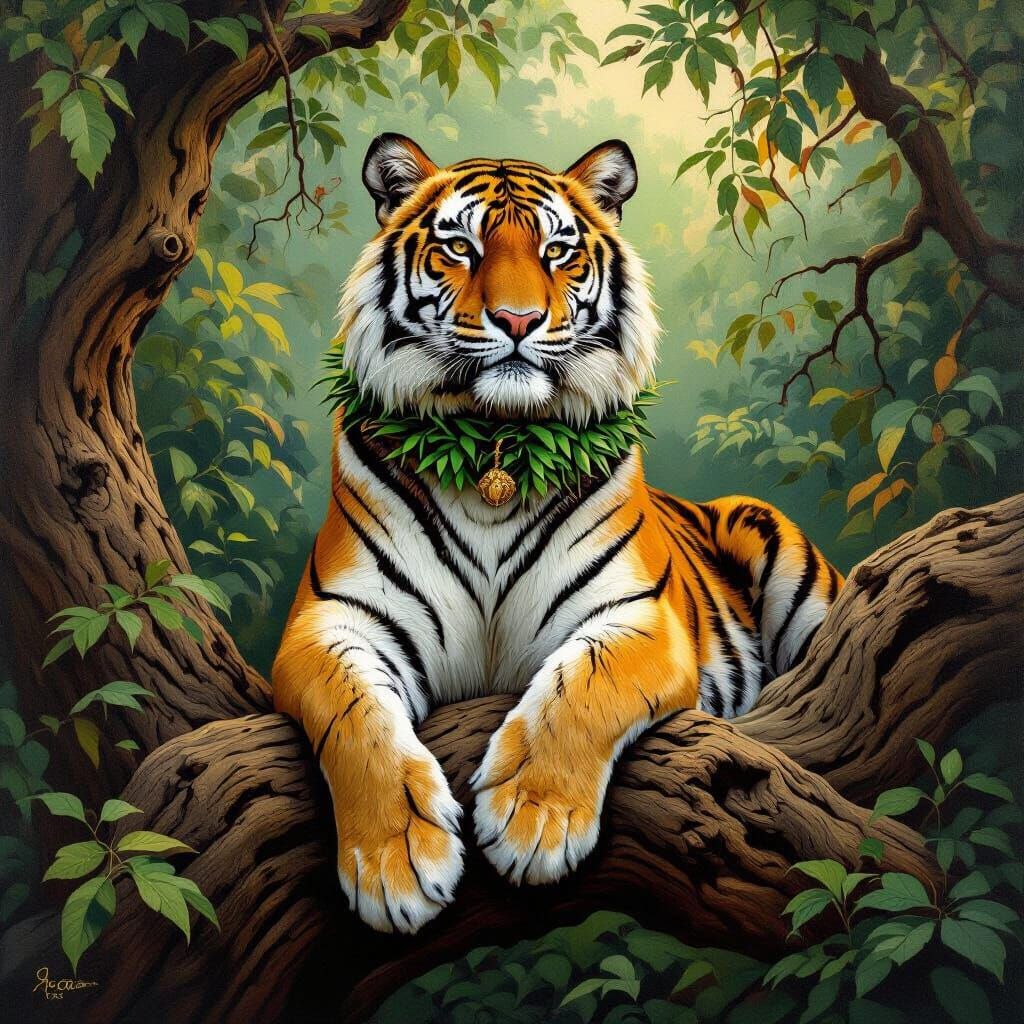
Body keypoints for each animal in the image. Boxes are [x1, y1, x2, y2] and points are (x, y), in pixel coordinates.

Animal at [272, 133, 842, 935]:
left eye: (558, 250)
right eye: (461, 246)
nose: (517, 321)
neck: (494, 448)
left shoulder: (639, 617)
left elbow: (584, 687)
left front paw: (533, 820)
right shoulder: (333, 623)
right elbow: (356, 721)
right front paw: (395, 862)